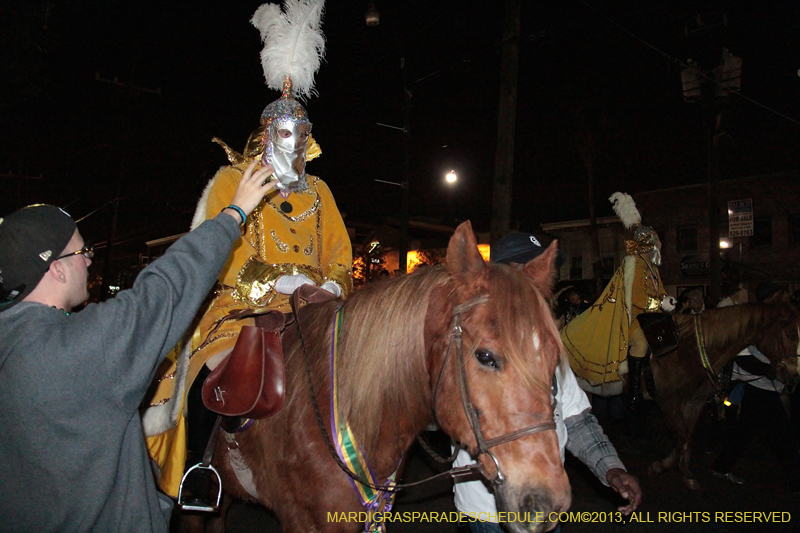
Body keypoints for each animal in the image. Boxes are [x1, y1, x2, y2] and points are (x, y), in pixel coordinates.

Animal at [648, 300, 796, 486]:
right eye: (791, 335)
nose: (794, 375)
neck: (687, 351)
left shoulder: (694, 401)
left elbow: (686, 436)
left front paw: (682, 470)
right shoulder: (668, 401)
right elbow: (681, 438)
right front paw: (666, 467)